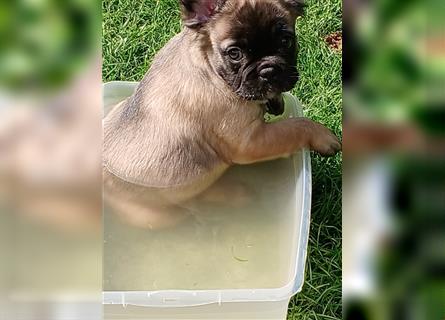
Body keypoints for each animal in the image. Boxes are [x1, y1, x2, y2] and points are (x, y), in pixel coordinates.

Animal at [104, 0, 340, 230]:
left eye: (286, 40)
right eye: (234, 53)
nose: (268, 70)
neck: (211, 68)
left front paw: (275, 100)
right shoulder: (251, 141)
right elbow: (295, 127)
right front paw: (322, 135)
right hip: (157, 216)